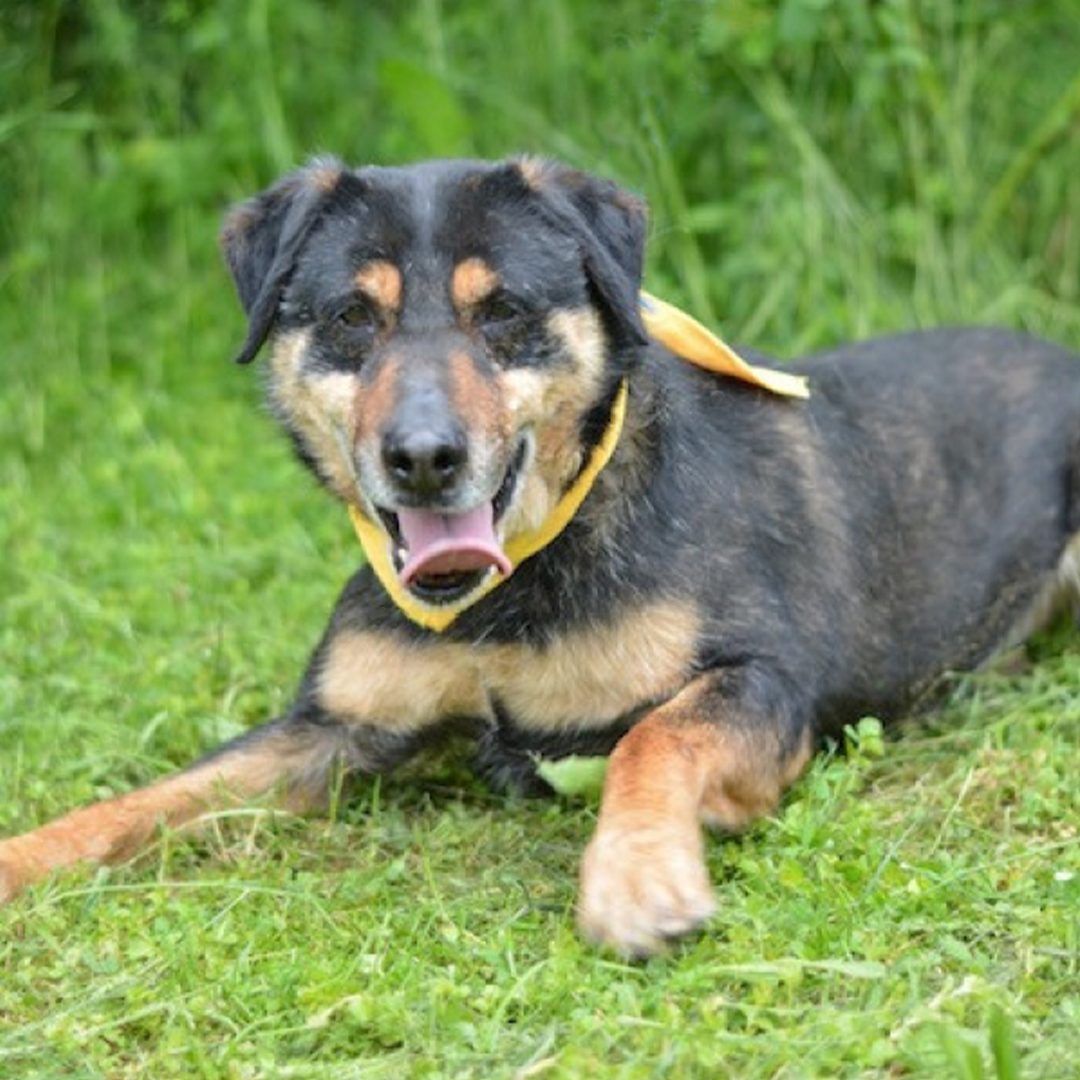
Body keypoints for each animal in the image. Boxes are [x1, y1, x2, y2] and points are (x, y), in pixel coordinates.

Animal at [2, 157, 1080, 954]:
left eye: (504, 312)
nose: (423, 460)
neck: (505, 594)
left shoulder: (768, 684)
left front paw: (638, 874)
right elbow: (142, 800)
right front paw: (21, 860)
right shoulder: (330, 729)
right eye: (352, 317)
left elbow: (653, 737)